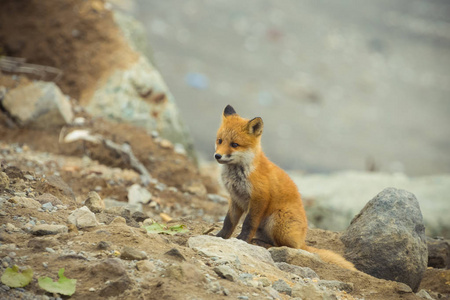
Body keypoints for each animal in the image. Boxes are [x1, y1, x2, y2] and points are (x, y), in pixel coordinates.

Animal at [213, 104, 356, 270]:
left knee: (287, 247)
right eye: (220, 141)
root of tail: (302, 240)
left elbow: (248, 223)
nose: (217, 156)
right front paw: (219, 237)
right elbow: (228, 222)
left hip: (276, 220)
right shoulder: (235, 198)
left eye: (234, 144)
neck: (241, 172)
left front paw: (241, 240)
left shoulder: (259, 198)